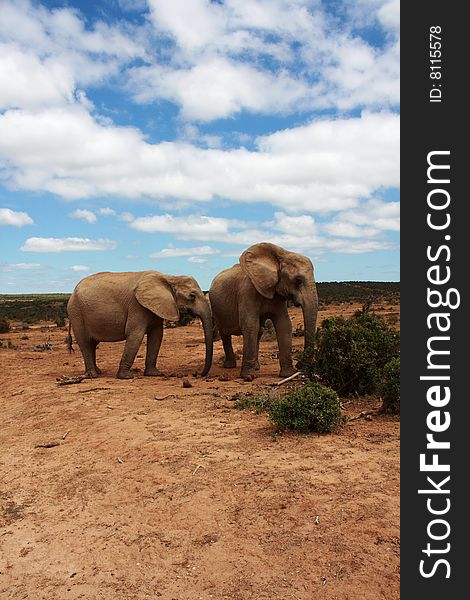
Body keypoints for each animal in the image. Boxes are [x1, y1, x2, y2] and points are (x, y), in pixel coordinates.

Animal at [66, 272, 213, 380]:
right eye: (192, 296)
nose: (196, 374)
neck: (170, 277)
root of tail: (73, 292)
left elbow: (157, 336)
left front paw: (154, 374)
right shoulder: (137, 306)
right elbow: (135, 335)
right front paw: (126, 377)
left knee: (92, 343)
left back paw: (98, 371)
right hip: (76, 312)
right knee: (85, 342)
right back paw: (92, 375)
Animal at [210, 243, 318, 380]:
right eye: (298, 280)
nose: (299, 364)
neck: (281, 255)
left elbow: (284, 324)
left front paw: (288, 374)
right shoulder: (247, 292)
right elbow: (250, 325)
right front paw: (248, 377)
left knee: (259, 331)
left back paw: (256, 367)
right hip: (216, 308)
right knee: (225, 334)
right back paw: (230, 366)